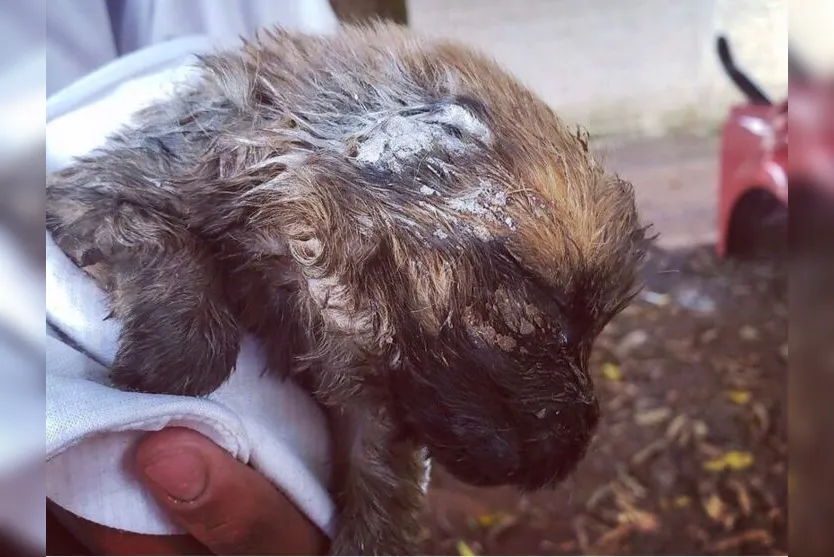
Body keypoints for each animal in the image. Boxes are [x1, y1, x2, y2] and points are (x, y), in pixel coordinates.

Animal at [47, 22, 648, 556]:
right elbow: (166, 248)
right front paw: (165, 360)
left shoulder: (371, 406)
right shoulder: (94, 194)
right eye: (541, 297)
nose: (575, 451)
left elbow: (382, 493)